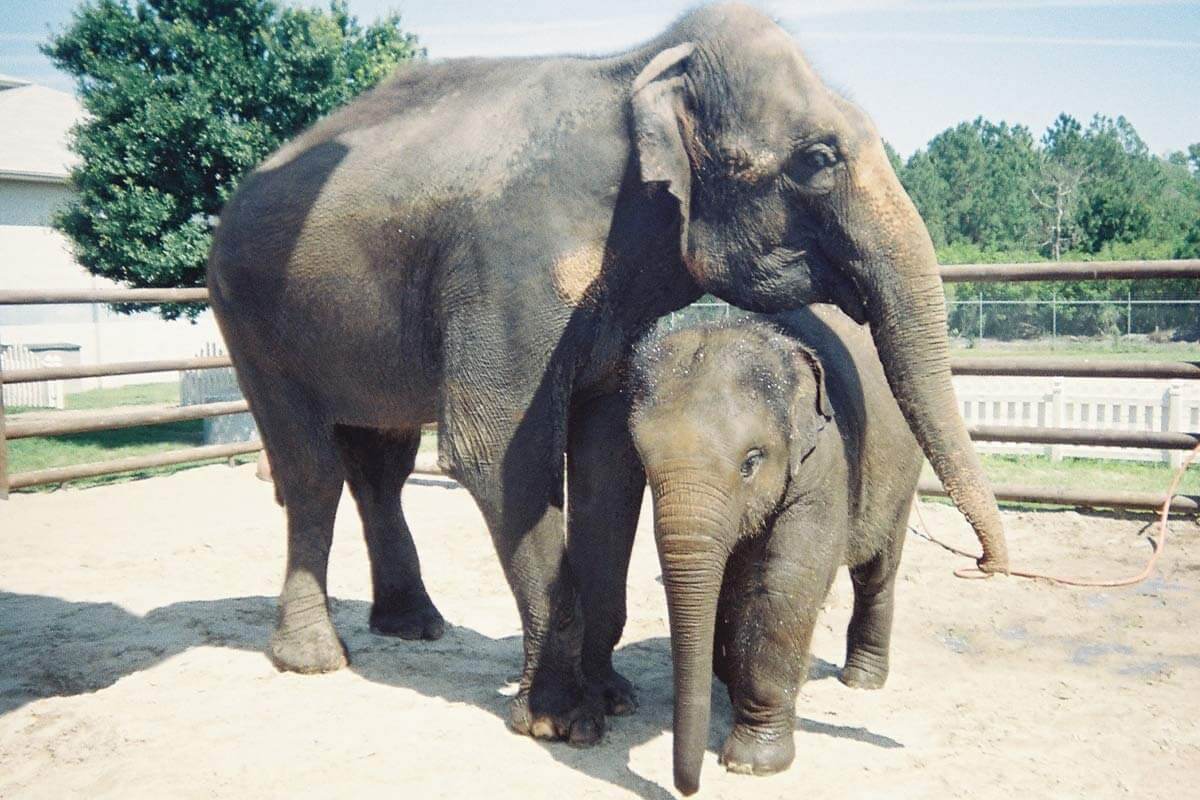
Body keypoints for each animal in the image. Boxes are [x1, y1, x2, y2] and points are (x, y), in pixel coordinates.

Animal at [633, 304, 921, 796]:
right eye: (643, 465)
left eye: (751, 462)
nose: (687, 787)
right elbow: (733, 587)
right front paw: (730, 681)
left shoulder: (823, 463)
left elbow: (784, 585)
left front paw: (752, 763)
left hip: (903, 474)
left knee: (877, 568)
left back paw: (861, 680)